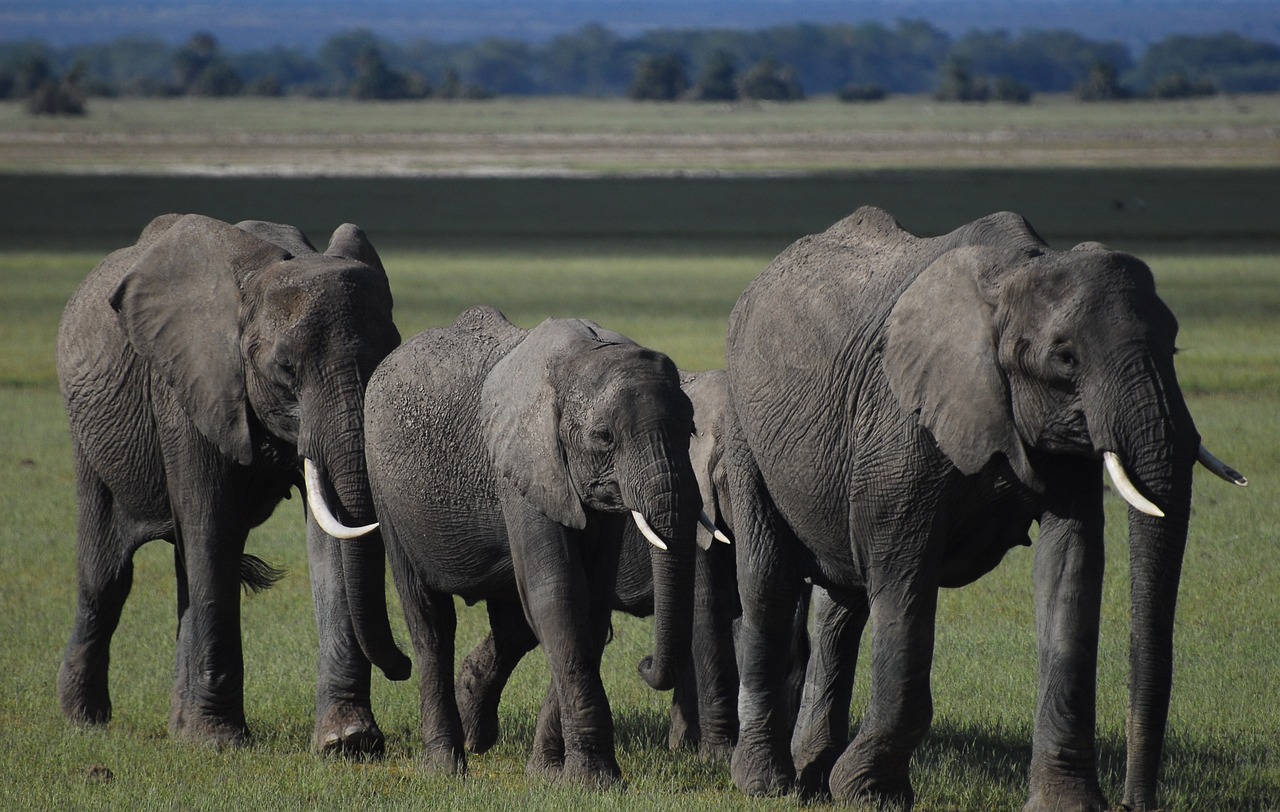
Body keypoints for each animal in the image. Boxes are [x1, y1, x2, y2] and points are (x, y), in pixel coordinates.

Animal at [57, 213, 409, 753]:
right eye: (286, 369)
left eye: (388, 357)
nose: (405, 666)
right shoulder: (188, 389)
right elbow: (213, 528)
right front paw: (218, 742)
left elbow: (329, 541)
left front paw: (346, 742)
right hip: (89, 435)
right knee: (107, 577)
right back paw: (85, 720)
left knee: (185, 570)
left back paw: (176, 727)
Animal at [358, 304, 701, 783]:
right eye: (604, 437)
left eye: (691, 430)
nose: (645, 664)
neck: (583, 355)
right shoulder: (524, 467)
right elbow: (558, 595)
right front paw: (594, 781)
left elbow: (589, 608)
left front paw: (547, 775)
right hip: (386, 490)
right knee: (430, 623)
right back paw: (446, 767)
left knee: (512, 626)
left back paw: (475, 735)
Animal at [721, 204, 1249, 804]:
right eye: (1064, 358)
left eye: (1175, 345)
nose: (1134, 805)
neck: (1016, 274)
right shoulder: (901, 421)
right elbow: (904, 579)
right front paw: (873, 795)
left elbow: (1070, 568)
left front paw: (1067, 805)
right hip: (746, 430)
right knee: (769, 582)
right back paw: (767, 785)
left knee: (842, 605)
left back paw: (812, 779)